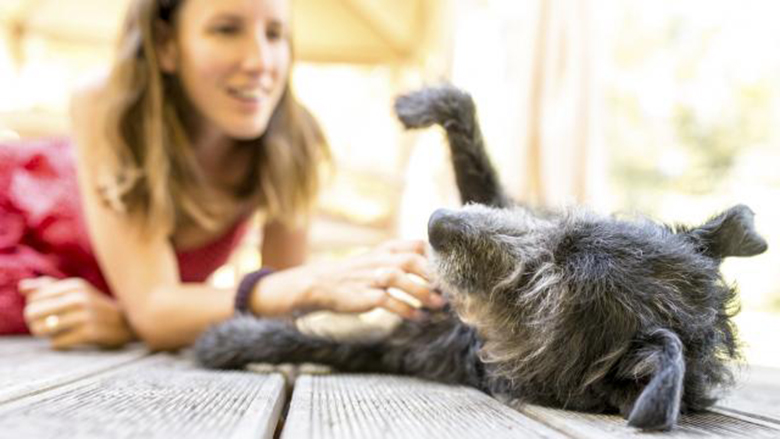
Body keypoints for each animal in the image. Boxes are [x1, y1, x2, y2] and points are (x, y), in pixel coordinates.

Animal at [195, 84, 768, 432]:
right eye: (561, 222)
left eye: (543, 289)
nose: (436, 223)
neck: (475, 331)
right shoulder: (494, 201)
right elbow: (468, 127)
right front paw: (421, 105)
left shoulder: (401, 350)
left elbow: (317, 341)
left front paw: (228, 340)